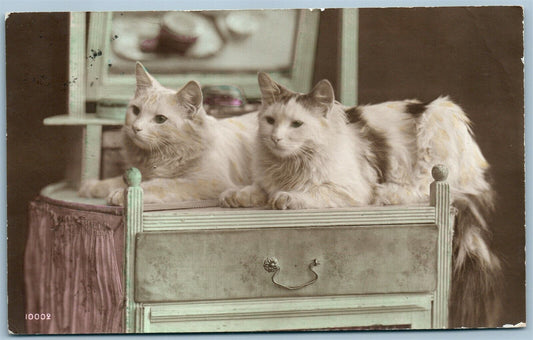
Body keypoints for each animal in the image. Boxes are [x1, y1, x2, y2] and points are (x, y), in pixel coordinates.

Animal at [77, 61, 258, 205]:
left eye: (160, 119)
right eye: (136, 111)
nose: (135, 128)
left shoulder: (206, 182)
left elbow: (161, 184)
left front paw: (121, 195)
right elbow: (118, 180)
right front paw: (92, 186)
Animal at [221, 73, 502, 328]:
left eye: (296, 124)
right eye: (270, 121)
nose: (275, 138)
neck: (289, 166)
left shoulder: (349, 189)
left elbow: (311, 191)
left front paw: (287, 197)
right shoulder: (265, 182)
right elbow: (257, 189)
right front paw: (234, 195)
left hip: (436, 129)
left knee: (425, 186)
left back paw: (388, 193)